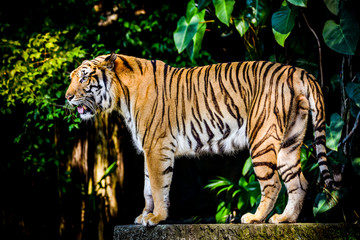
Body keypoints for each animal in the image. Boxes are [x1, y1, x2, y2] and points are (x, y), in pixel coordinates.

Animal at [65, 53, 338, 227]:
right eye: (71, 78)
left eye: (84, 78)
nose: (67, 97)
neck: (121, 96)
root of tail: (298, 70)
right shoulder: (149, 149)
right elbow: (147, 188)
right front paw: (144, 216)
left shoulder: (157, 147)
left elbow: (158, 186)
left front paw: (156, 218)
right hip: (289, 142)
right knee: (299, 182)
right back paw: (284, 219)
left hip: (262, 137)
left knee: (272, 183)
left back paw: (255, 218)